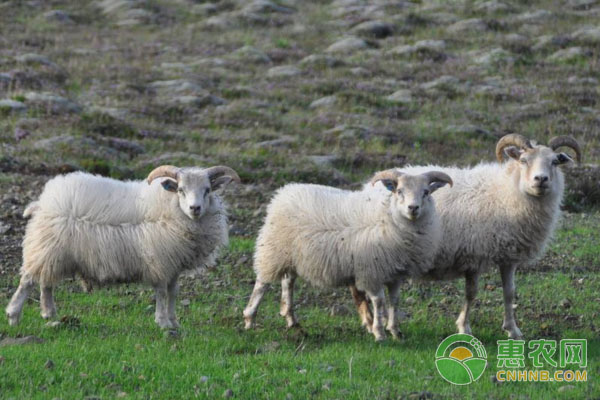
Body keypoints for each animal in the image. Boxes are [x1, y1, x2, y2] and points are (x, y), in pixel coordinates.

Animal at [5, 165, 239, 328]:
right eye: (180, 190)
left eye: (207, 190)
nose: (195, 208)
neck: (169, 208)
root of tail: (43, 202)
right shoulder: (160, 261)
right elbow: (162, 293)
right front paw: (163, 323)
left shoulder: (173, 265)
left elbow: (173, 293)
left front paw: (174, 322)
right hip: (45, 247)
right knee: (28, 280)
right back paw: (14, 316)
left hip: (54, 253)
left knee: (46, 281)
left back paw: (49, 313)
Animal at [241, 170, 452, 340]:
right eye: (399, 191)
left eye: (426, 192)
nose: (413, 208)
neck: (387, 217)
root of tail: (284, 192)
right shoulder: (371, 271)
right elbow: (379, 301)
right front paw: (379, 332)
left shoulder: (395, 273)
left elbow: (394, 301)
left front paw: (395, 331)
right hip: (273, 250)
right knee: (262, 284)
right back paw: (250, 318)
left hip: (292, 255)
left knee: (288, 282)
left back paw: (291, 319)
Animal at [352, 134, 580, 338]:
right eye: (523, 160)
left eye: (554, 162)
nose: (541, 179)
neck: (506, 192)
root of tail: (365, 189)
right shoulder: (473, 256)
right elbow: (471, 293)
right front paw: (464, 328)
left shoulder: (509, 256)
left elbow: (509, 292)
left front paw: (512, 330)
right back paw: (370, 322)